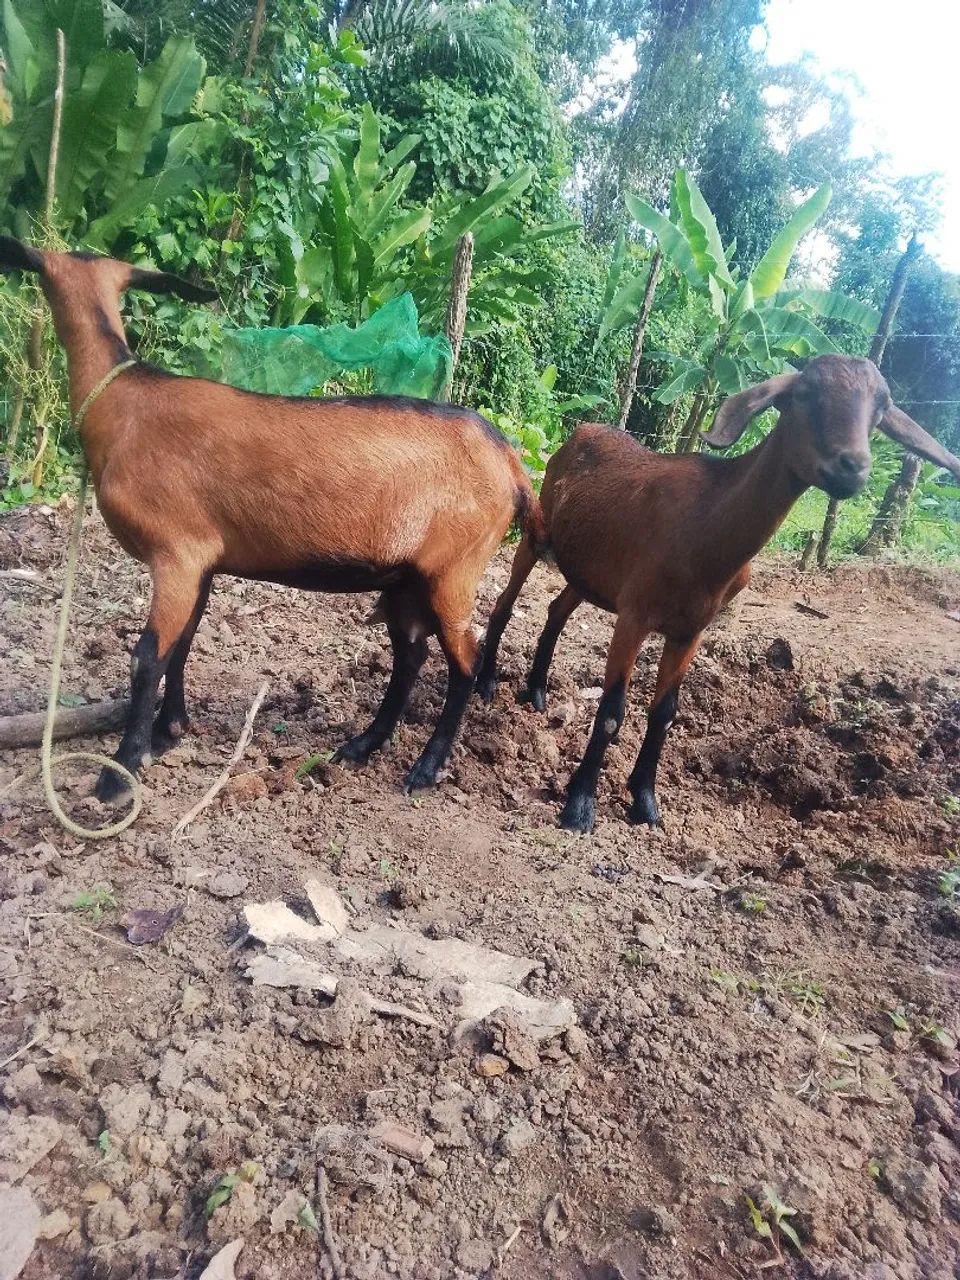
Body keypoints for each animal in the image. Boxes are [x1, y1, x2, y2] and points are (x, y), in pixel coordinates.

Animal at [0, 236, 543, 802]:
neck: (122, 402)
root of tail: (512, 463)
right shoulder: (202, 563)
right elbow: (183, 642)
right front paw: (169, 731)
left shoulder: (176, 551)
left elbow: (147, 657)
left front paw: (120, 772)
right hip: (410, 577)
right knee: (410, 655)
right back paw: (362, 745)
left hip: (455, 569)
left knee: (465, 663)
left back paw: (426, 768)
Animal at [476, 355, 960, 834]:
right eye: (805, 393)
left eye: (881, 407)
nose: (852, 467)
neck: (709, 522)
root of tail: (585, 430)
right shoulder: (635, 615)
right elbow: (613, 711)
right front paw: (579, 807)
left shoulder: (690, 629)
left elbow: (665, 714)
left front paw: (646, 803)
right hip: (537, 531)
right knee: (504, 604)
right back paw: (485, 684)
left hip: (589, 571)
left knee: (557, 610)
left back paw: (537, 692)